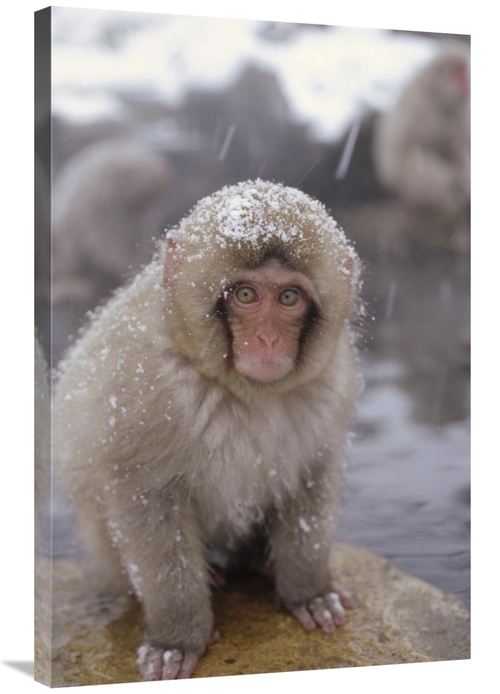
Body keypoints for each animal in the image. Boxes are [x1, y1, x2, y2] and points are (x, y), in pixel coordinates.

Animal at [53, 180, 362, 681]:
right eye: (246, 296)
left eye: (289, 298)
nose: (268, 340)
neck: (243, 390)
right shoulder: (142, 384)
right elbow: (144, 496)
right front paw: (175, 639)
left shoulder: (329, 385)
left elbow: (312, 473)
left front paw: (310, 592)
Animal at [373, 42, 470, 215]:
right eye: (457, 72)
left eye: (464, 71)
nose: (467, 81)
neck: (440, 98)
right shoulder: (419, 109)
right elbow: (407, 150)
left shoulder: (461, 113)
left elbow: (459, 144)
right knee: (415, 160)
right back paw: (445, 201)